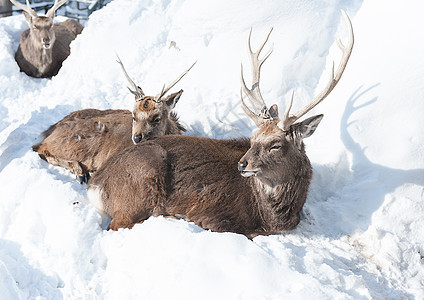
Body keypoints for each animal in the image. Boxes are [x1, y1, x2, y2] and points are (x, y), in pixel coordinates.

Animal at [33, 56, 195, 183]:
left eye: (157, 118)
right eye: (133, 116)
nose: (137, 138)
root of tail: (50, 130)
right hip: (75, 142)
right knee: (40, 149)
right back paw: (80, 172)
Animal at [87, 11, 354, 237]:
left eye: (276, 144)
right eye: (253, 138)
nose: (242, 164)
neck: (270, 214)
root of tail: (96, 185)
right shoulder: (212, 211)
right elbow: (241, 231)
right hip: (143, 179)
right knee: (118, 225)